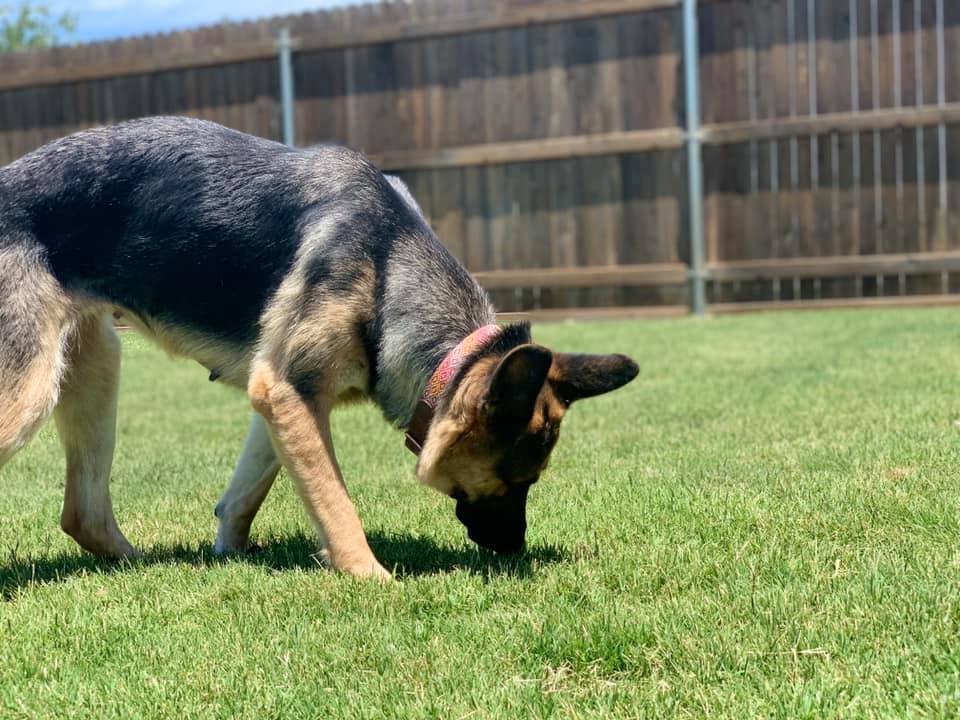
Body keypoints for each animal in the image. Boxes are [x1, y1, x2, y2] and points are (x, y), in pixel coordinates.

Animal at [0, 117, 638, 578]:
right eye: (516, 483)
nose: (514, 550)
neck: (388, 259)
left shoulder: (281, 393)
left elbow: (248, 490)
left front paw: (229, 551)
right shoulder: (288, 391)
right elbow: (336, 501)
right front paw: (370, 577)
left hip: (96, 364)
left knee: (81, 515)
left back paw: (146, 565)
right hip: (28, 394)